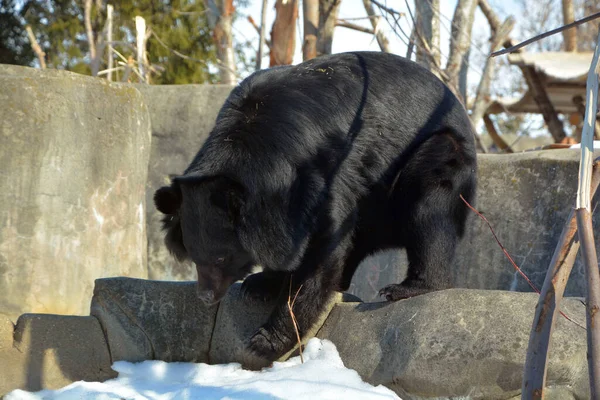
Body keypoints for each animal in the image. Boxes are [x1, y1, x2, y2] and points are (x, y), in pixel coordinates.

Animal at [156, 51, 478, 360]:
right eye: (194, 256)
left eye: (222, 258)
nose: (206, 297)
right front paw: (259, 284)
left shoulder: (326, 174)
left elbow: (321, 251)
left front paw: (264, 342)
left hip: (438, 153)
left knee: (429, 211)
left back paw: (406, 288)